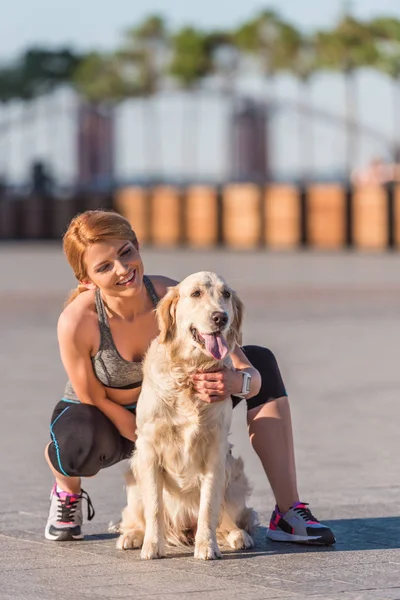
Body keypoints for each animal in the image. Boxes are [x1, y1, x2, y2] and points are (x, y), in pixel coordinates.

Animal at [117, 270, 258, 560]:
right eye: (195, 294)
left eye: (226, 294)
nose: (220, 317)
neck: (190, 372)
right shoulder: (148, 447)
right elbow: (155, 506)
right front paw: (152, 546)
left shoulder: (216, 449)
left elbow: (208, 506)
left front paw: (207, 546)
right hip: (134, 476)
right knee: (138, 516)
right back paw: (133, 535)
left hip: (234, 477)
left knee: (230, 519)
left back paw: (238, 535)